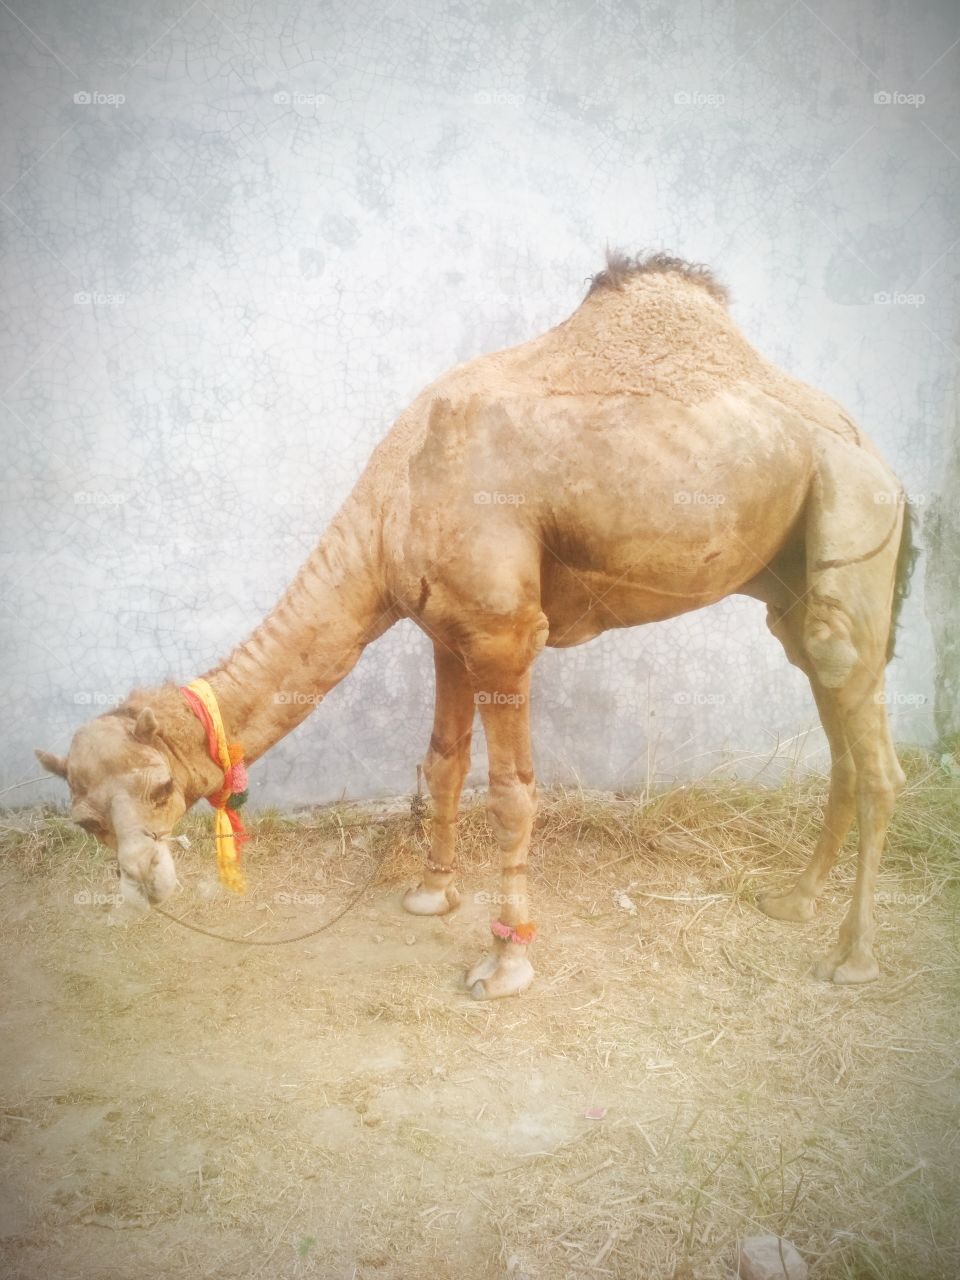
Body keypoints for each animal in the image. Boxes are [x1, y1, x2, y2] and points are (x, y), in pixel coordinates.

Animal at [36, 251, 915, 1000]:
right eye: (85, 823)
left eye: (159, 788)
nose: (145, 881)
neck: (396, 496)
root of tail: (879, 454)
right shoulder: (446, 634)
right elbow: (444, 763)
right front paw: (432, 896)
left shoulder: (504, 637)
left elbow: (513, 795)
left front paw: (507, 964)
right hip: (788, 587)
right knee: (836, 722)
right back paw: (796, 900)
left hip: (851, 511)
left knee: (869, 738)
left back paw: (854, 956)